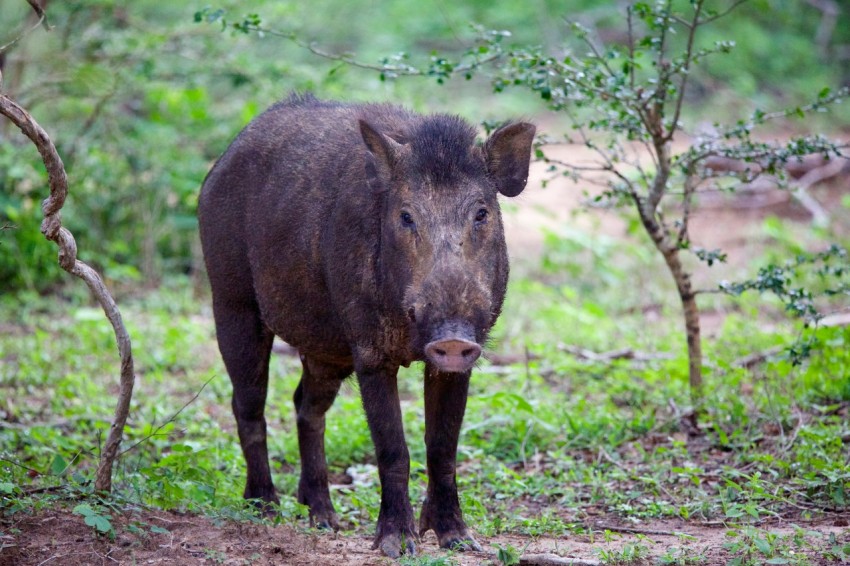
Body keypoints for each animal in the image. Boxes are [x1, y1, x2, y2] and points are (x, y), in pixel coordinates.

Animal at [198, 93, 534, 557]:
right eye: (406, 216)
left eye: (481, 213)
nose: (450, 337)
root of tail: (219, 164)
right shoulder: (370, 352)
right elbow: (393, 449)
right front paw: (397, 545)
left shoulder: (460, 360)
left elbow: (442, 447)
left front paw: (460, 541)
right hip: (231, 301)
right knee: (248, 405)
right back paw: (265, 508)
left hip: (324, 349)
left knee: (305, 404)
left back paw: (323, 518)